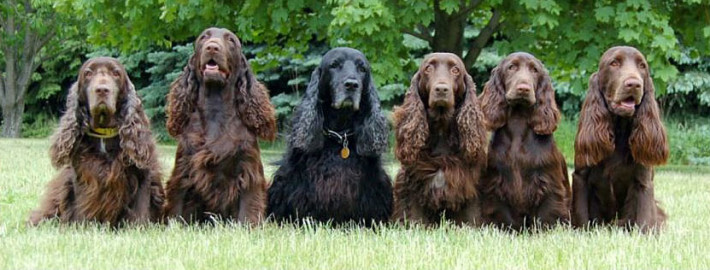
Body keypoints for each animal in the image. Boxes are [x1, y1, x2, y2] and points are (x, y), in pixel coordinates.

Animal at [394, 52, 490, 226]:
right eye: (428, 68)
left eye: (455, 70)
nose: (441, 89)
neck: (441, 131)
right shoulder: (411, 183)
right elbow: (415, 218)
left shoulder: (471, 183)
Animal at [576, 46, 672, 232]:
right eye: (614, 63)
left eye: (642, 66)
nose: (634, 84)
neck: (619, 130)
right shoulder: (581, 177)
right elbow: (582, 217)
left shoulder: (643, 182)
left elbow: (643, 220)